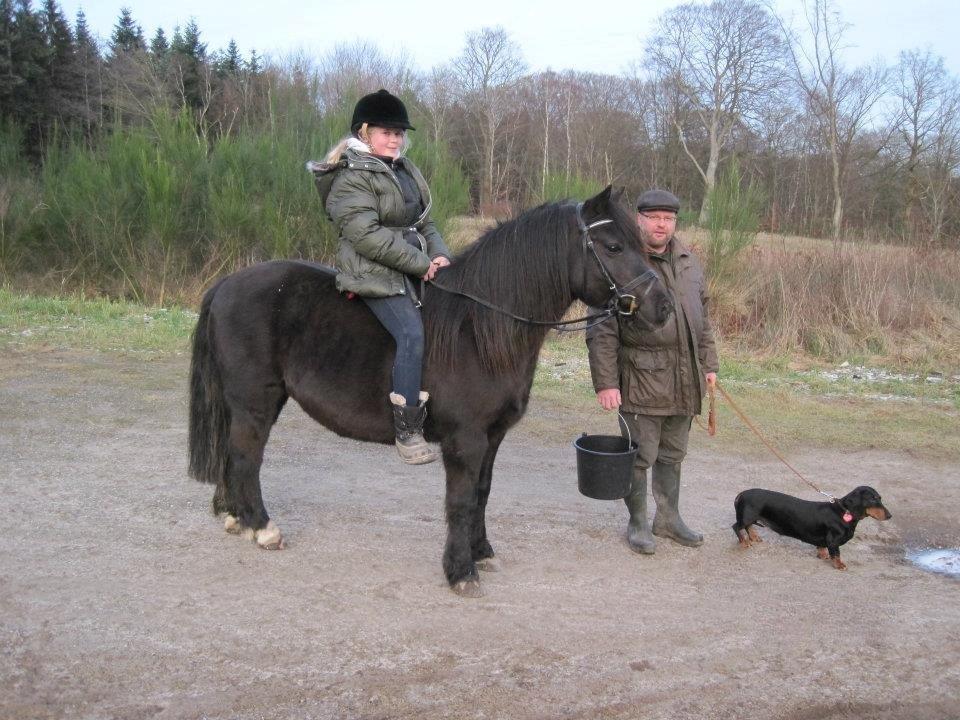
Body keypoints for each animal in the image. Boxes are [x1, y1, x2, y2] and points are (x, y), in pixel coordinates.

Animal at [186, 186, 668, 596]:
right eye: (613, 247)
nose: (661, 307)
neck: (480, 327)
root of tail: (226, 284)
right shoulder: (465, 438)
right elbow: (460, 500)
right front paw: (460, 571)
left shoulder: (492, 437)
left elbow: (482, 493)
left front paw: (481, 551)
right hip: (256, 401)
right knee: (246, 457)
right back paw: (262, 527)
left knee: (232, 453)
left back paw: (234, 517)